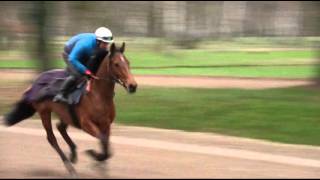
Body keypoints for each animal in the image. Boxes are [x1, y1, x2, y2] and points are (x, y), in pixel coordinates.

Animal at [2, 41, 138, 176]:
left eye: (128, 62)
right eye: (116, 64)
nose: (133, 86)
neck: (98, 95)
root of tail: (35, 82)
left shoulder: (106, 124)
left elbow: (106, 146)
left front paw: (99, 164)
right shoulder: (86, 124)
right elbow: (103, 141)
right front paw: (93, 155)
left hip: (65, 114)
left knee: (60, 127)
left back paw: (73, 152)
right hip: (44, 111)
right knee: (51, 138)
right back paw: (70, 167)